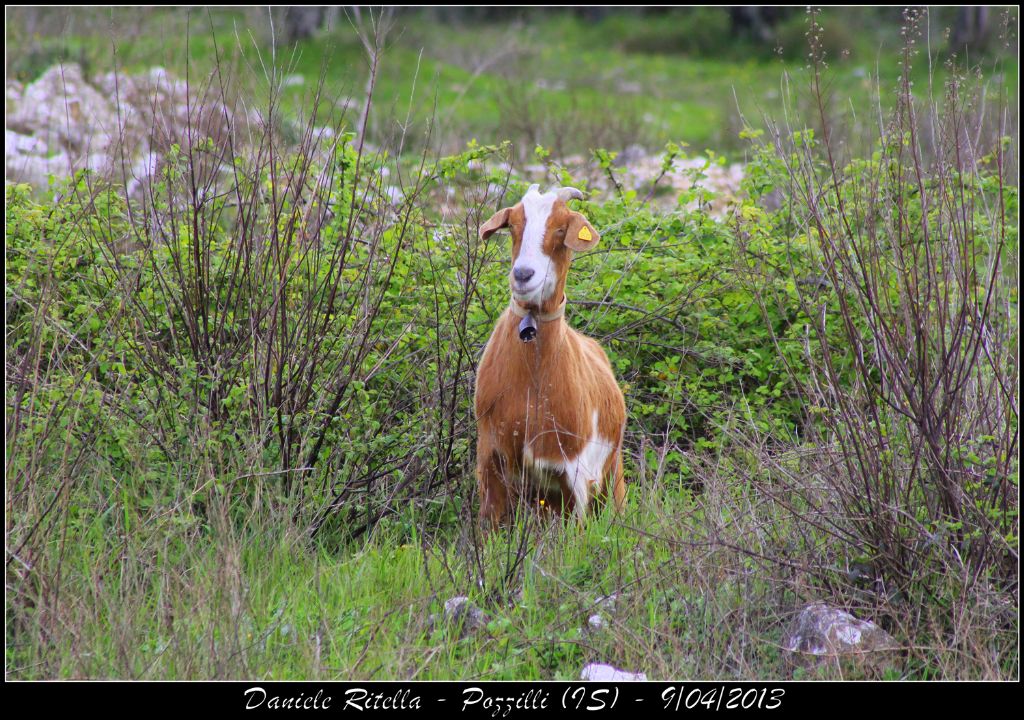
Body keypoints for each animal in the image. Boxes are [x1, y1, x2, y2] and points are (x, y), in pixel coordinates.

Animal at [471, 183, 622, 528]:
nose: (523, 274)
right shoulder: (490, 457)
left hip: (612, 473)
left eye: (561, 229)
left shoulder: (575, 473)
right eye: (512, 225)